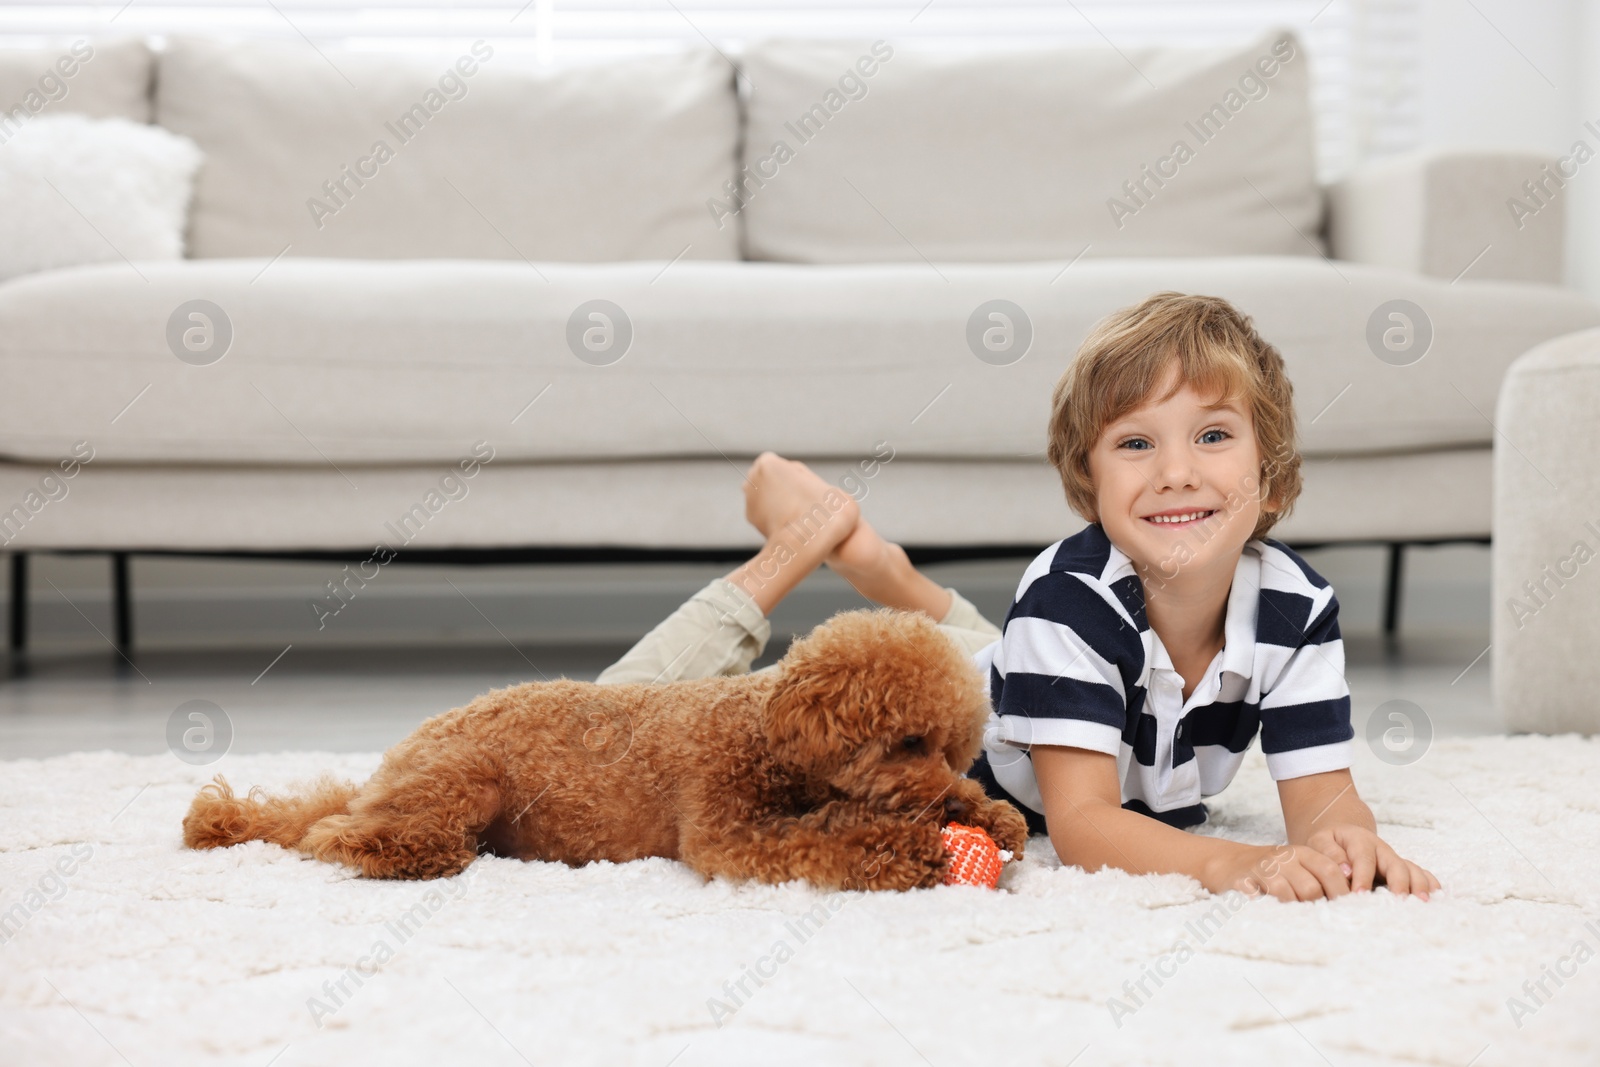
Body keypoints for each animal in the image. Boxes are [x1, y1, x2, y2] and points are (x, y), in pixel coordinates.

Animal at [184, 607, 1024, 895]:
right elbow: (825, 839)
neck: (767, 734)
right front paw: (909, 849)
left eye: (952, 749)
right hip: (466, 776)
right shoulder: (725, 831)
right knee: (336, 832)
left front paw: (992, 816)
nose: (939, 798)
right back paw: (411, 853)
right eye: (905, 742)